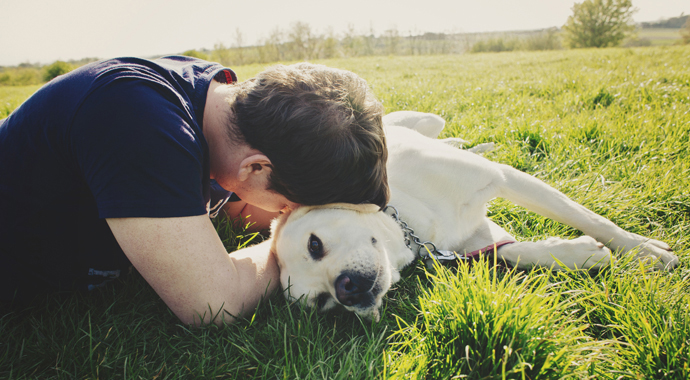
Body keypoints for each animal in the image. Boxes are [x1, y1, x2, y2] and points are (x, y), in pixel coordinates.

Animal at [270, 111, 676, 320]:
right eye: (322, 303)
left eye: (315, 244)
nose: (346, 291)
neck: (407, 221)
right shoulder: (467, 239)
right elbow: (513, 251)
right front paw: (577, 254)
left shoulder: (501, 177)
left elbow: (592, 219)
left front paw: (644, 251)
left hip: (429, 121)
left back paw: (472, 143)